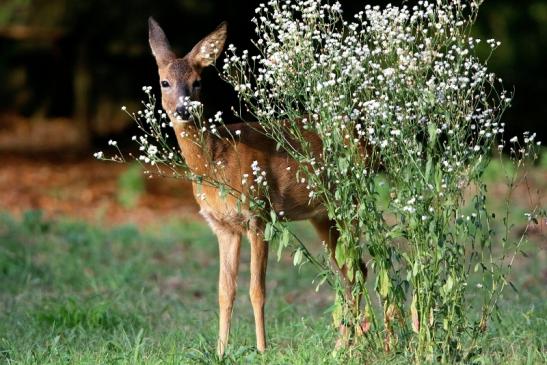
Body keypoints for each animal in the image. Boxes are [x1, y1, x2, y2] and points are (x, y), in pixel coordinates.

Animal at [148, 17, 360, 356]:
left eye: (198, 82)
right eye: (164, 82)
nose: (183, 110)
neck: (217, 160)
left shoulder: (258, 214)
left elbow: (257, 289)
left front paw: (261, 349)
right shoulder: (222, 226)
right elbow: (225, 290)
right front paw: (220, 351)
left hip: (349, 202)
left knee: (361, 268)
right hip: (322, 215)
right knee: (350, 273)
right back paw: (346, 346)